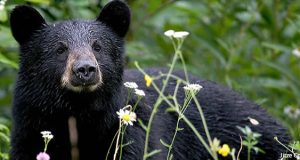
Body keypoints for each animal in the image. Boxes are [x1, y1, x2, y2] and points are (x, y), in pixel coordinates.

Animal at [9, 0, 290, 159]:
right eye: (60, 49)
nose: (85, 69)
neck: (78, 113)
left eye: (98, 46)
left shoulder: (131, 132)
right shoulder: (30, 125)